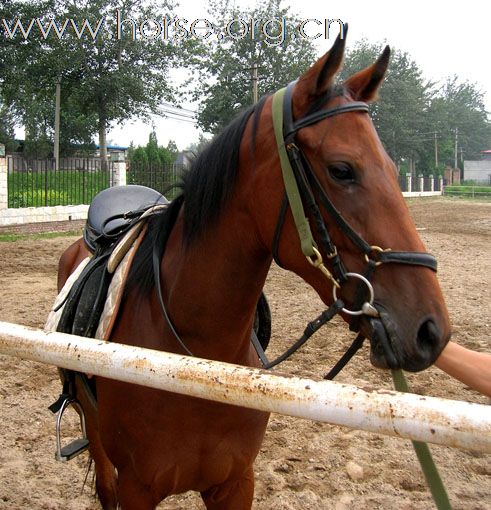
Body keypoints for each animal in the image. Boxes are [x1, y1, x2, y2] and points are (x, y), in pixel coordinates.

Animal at [56, 32, 450, 510]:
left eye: (395, 170)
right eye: (342, 170)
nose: (430, 330)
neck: (197, 367)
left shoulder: (236, 483)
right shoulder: (137, 489)